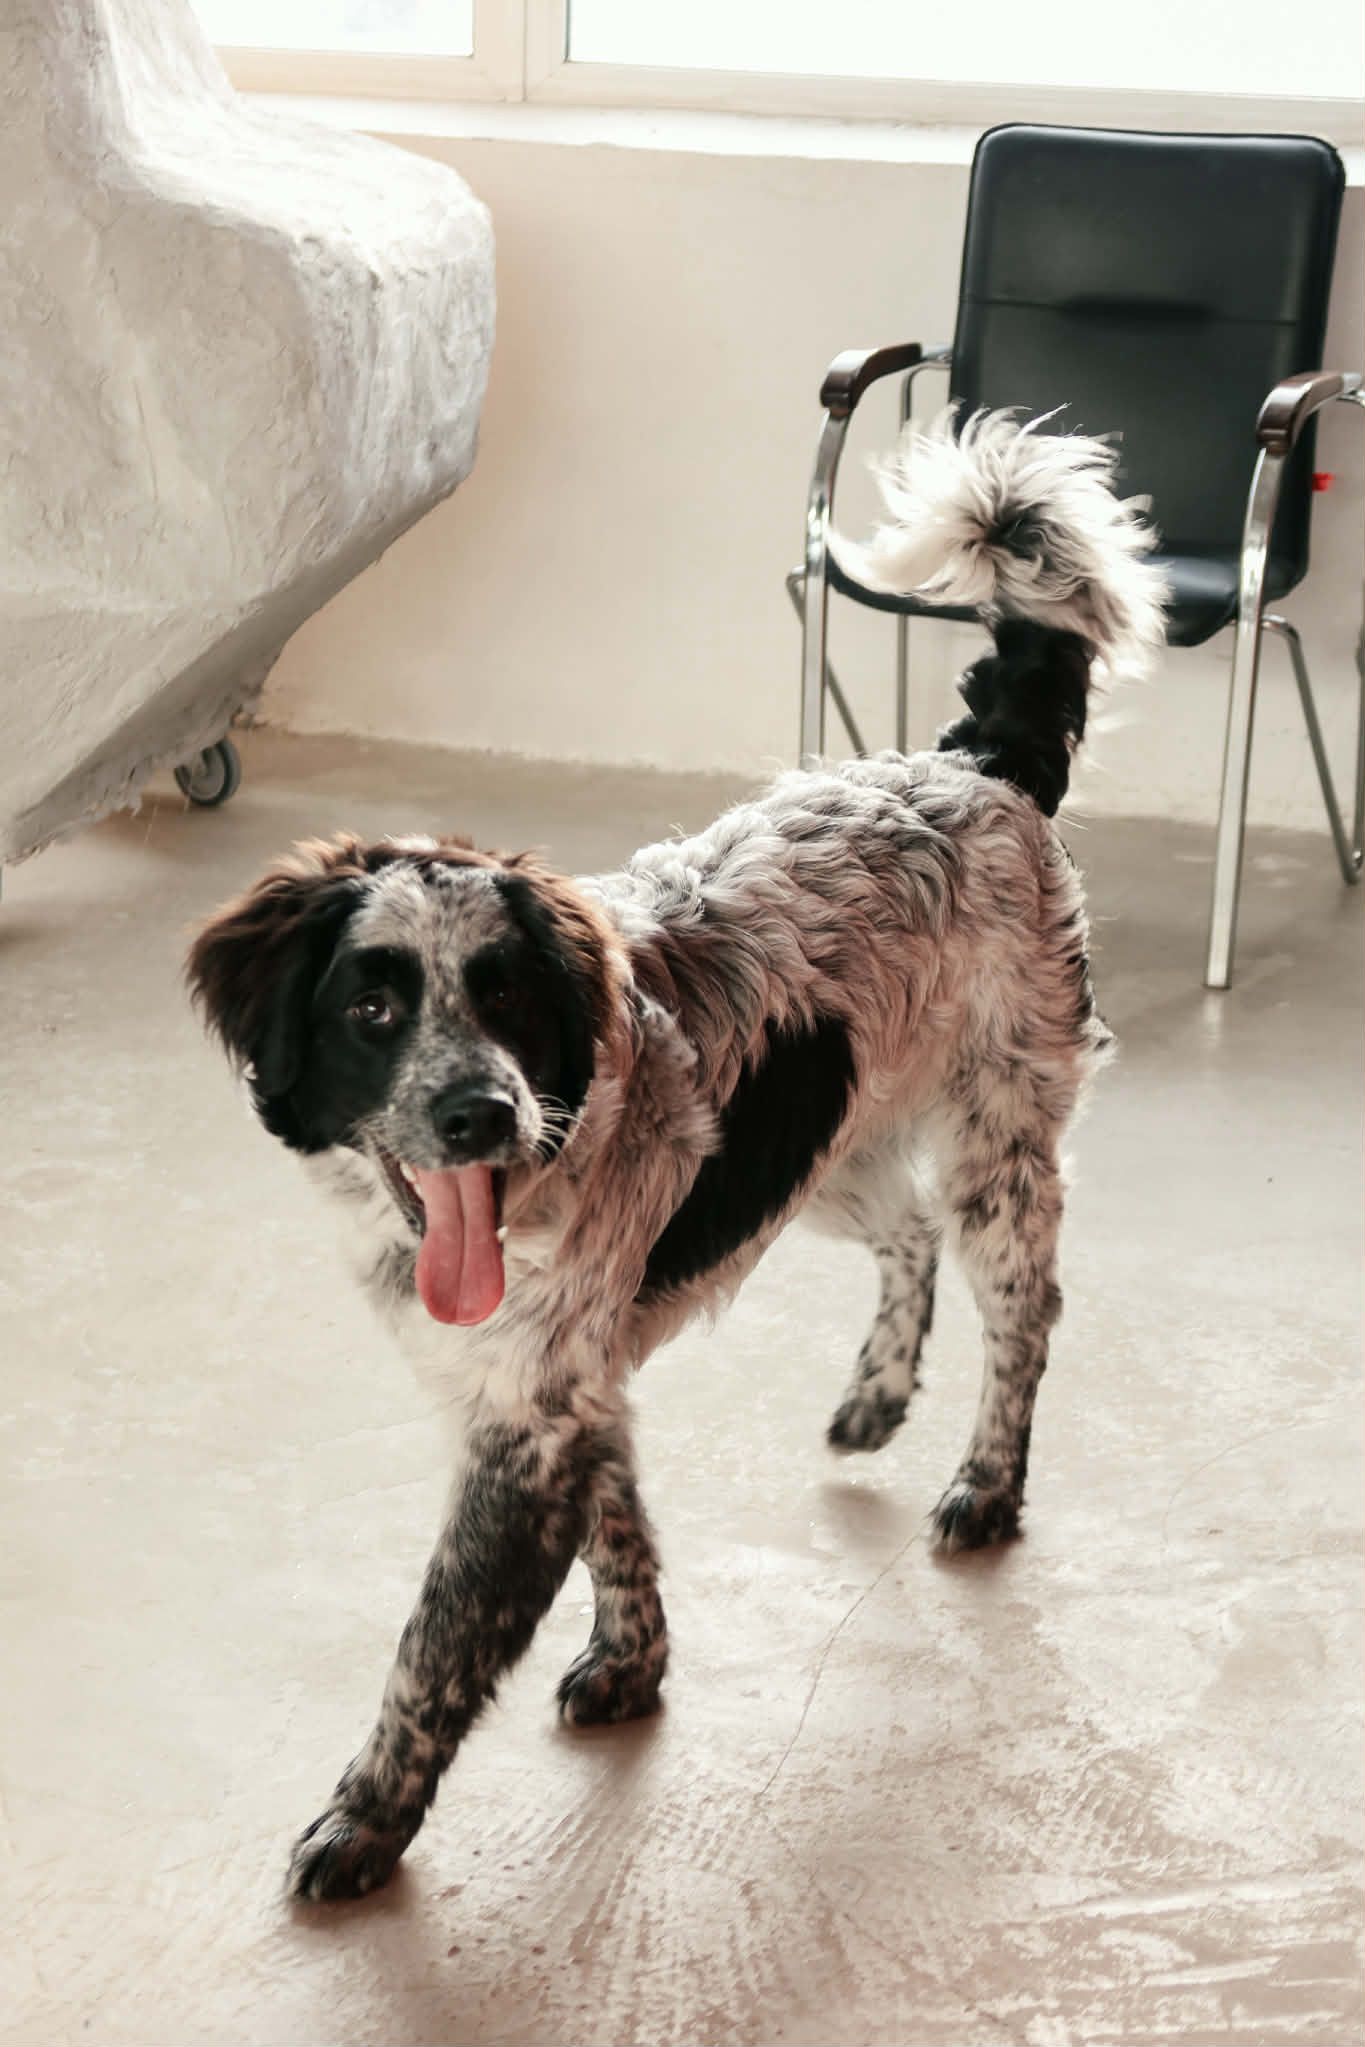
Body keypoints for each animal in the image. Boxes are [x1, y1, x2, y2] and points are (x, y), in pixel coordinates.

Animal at [188, 409, 1164, 1901]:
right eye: (373, 1006)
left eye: (509, 997)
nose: (478, 1114)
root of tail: (972, 764)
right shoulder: (563, 1386)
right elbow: (622, 1524)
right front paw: (635, 1663)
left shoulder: (526, 1425)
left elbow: (430, 1650)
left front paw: (364, 1821)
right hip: (819, 1154)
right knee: (906, 1235)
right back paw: (876, 1396)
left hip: (997, 1147)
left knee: (1023, 1315)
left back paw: (986, 1487)